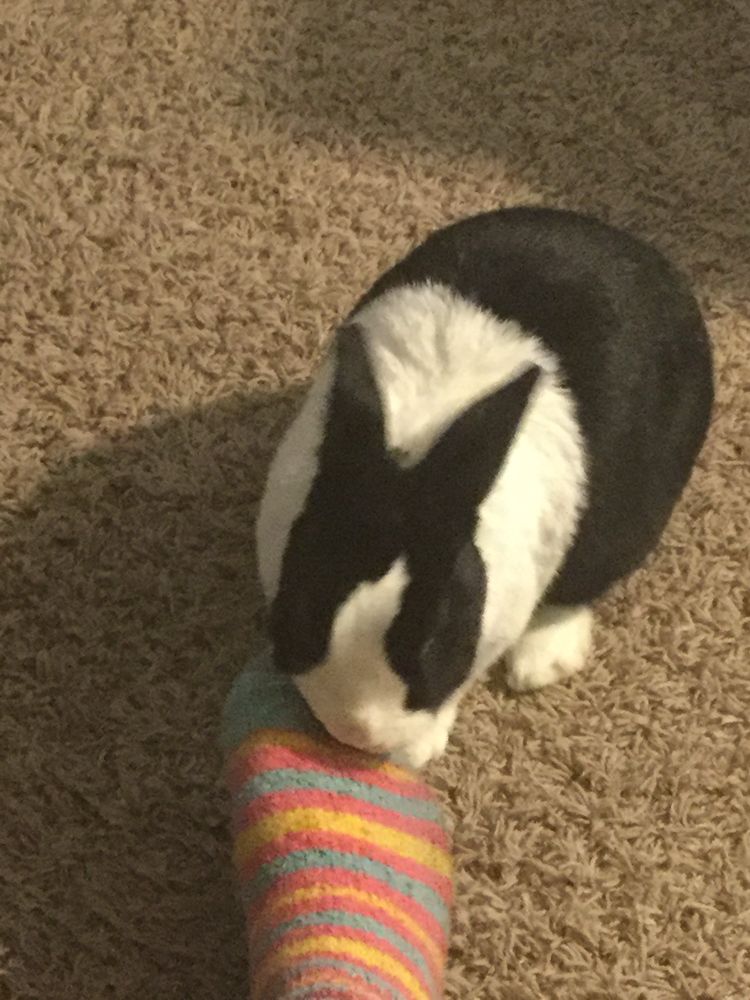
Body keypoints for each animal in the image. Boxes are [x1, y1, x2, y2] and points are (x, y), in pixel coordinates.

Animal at [256, 206, 713, 768]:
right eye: (304, 602)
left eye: (434, 638)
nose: (357, 733)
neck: (414, 452)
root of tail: (642, 253)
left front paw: (416, 750)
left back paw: (542, 662)